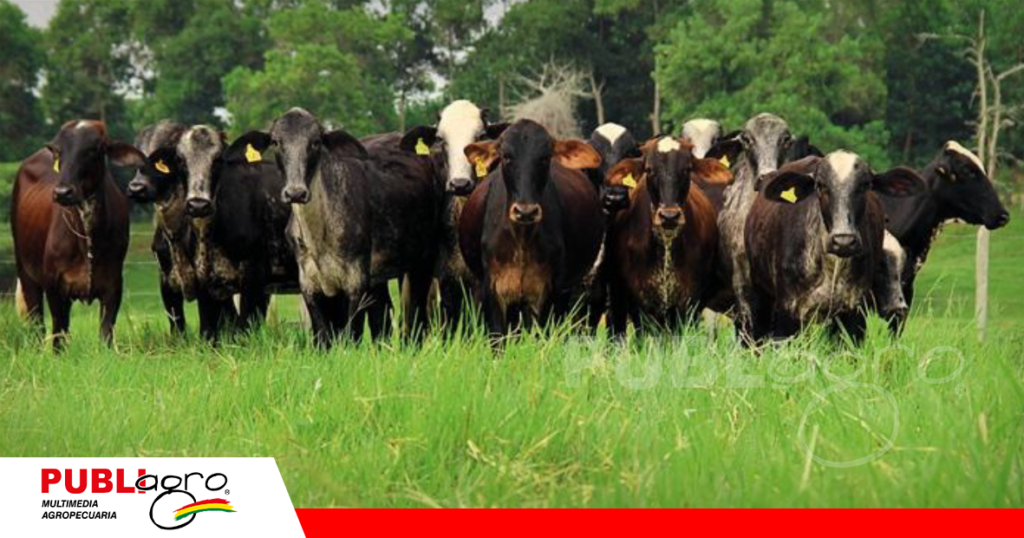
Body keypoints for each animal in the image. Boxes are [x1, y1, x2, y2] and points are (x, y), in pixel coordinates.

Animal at [11, 120, 145, 350]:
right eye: (58, 150)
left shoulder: (113, 286)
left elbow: (106, 333)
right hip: (26, 274)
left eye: (94, 149)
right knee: (37, 323)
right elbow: (59, 334)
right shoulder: (54, 285)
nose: (63, 192)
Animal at [125, 121, 240, 337]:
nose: (137, 188)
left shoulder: (206, 282)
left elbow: (207, 327)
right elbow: (177, 325)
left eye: (159, 163)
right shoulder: (165, 282)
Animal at [175, 125, 298, 338]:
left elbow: (244, 330)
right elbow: (209, 332)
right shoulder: (205, 284)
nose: (198, 205)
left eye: (218, 159)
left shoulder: (255, 277)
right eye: (180, 160)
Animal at [228, 108, 442, 346]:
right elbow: (323, 336)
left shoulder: (355, 282)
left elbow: (352, 334)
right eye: (275, 142)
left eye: (315, 142)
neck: (319, 234)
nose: (295, 192)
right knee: (382, 315)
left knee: (415, 312)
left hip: (421, 262)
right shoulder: (310, 285)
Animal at [459, 119, 604, 339]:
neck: (522, 239)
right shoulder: (492, 291)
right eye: (506, 156)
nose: (525, 211)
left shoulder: (547, 293)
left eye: (545, 157)